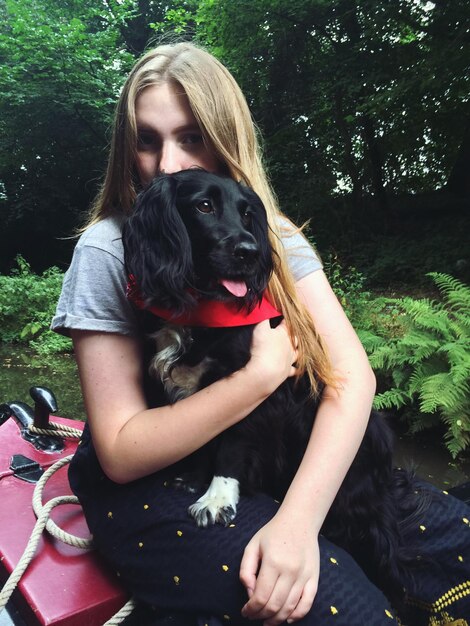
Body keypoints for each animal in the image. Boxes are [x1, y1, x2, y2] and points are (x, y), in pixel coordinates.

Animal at [123, 167, 424, 604]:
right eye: (204, 205)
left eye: (248, 214)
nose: (249, 251)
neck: (202, 310)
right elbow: (201, 440)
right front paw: (192, 477)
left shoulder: (257, 391)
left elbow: (230, 447)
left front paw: (217, 498)